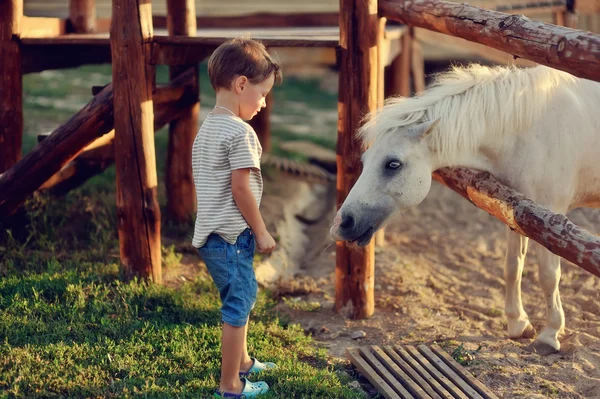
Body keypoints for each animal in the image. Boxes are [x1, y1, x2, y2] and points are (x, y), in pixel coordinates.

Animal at [330, 64, 600, 354]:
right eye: (365, 159)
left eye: (393, 164)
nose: (342, 223)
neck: (529, 129)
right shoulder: (518, 212)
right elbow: (512, 267)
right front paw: (518, 324)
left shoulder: (551, 218)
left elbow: (548, 276)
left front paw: (549, 334)